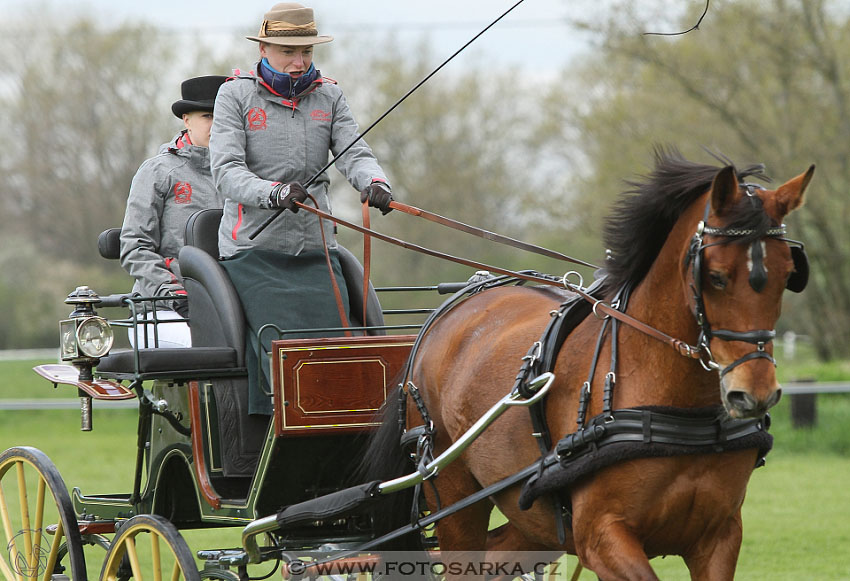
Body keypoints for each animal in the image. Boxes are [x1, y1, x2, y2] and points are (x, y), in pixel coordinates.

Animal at [364, 147, 816, 576]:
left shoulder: (719, 536)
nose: (754, 392)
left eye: (787, 273)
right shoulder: (601, 536)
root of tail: (446, 314)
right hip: (456, 500)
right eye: (717, 276)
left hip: (535, 523)